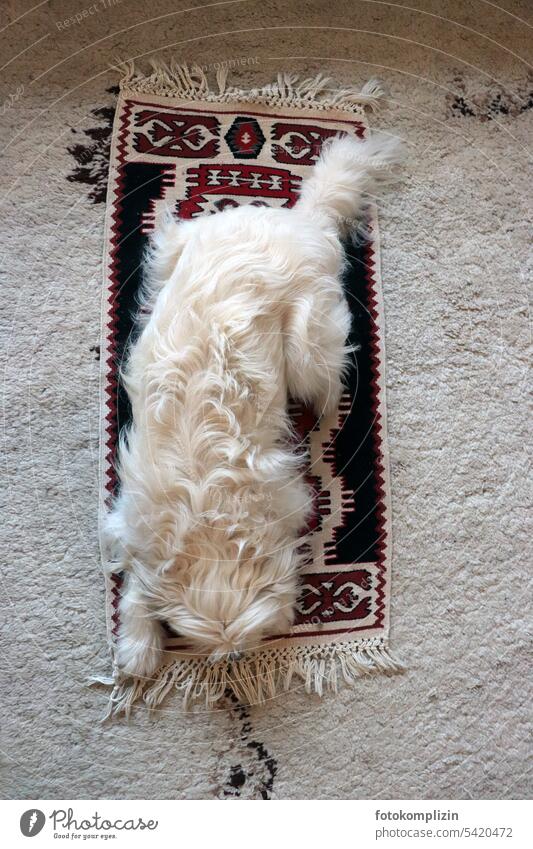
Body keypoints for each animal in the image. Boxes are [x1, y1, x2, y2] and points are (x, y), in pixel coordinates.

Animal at [106, 134, 400, 676]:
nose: (238, 656)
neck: (206, 506)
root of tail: (299, 220)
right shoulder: (135, 521)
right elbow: (137, 584)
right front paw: (138, 644)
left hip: (308, 344)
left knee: (330, 375)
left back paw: (323, 408)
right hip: (172, 254)